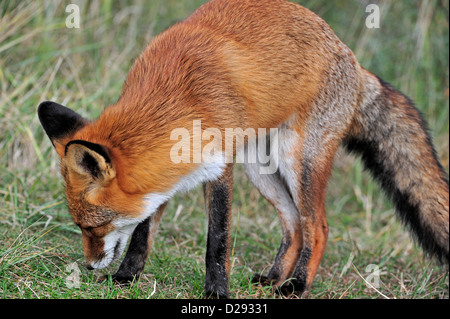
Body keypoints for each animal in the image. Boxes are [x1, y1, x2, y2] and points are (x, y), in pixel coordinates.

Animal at [37, 0, 446, 300]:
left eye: (92, 226)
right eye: (82, 227)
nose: (89, 266)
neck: (177, 100)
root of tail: (352, 58)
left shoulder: (220, 169)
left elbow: (217, 241)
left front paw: (217, 292)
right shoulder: (166, 175)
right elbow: (141, 233)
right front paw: (126, 278)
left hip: (297, 160)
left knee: (317, 226)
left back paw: (296, 285)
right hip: (260, 167)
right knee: (293, 224)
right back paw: (273, 277)